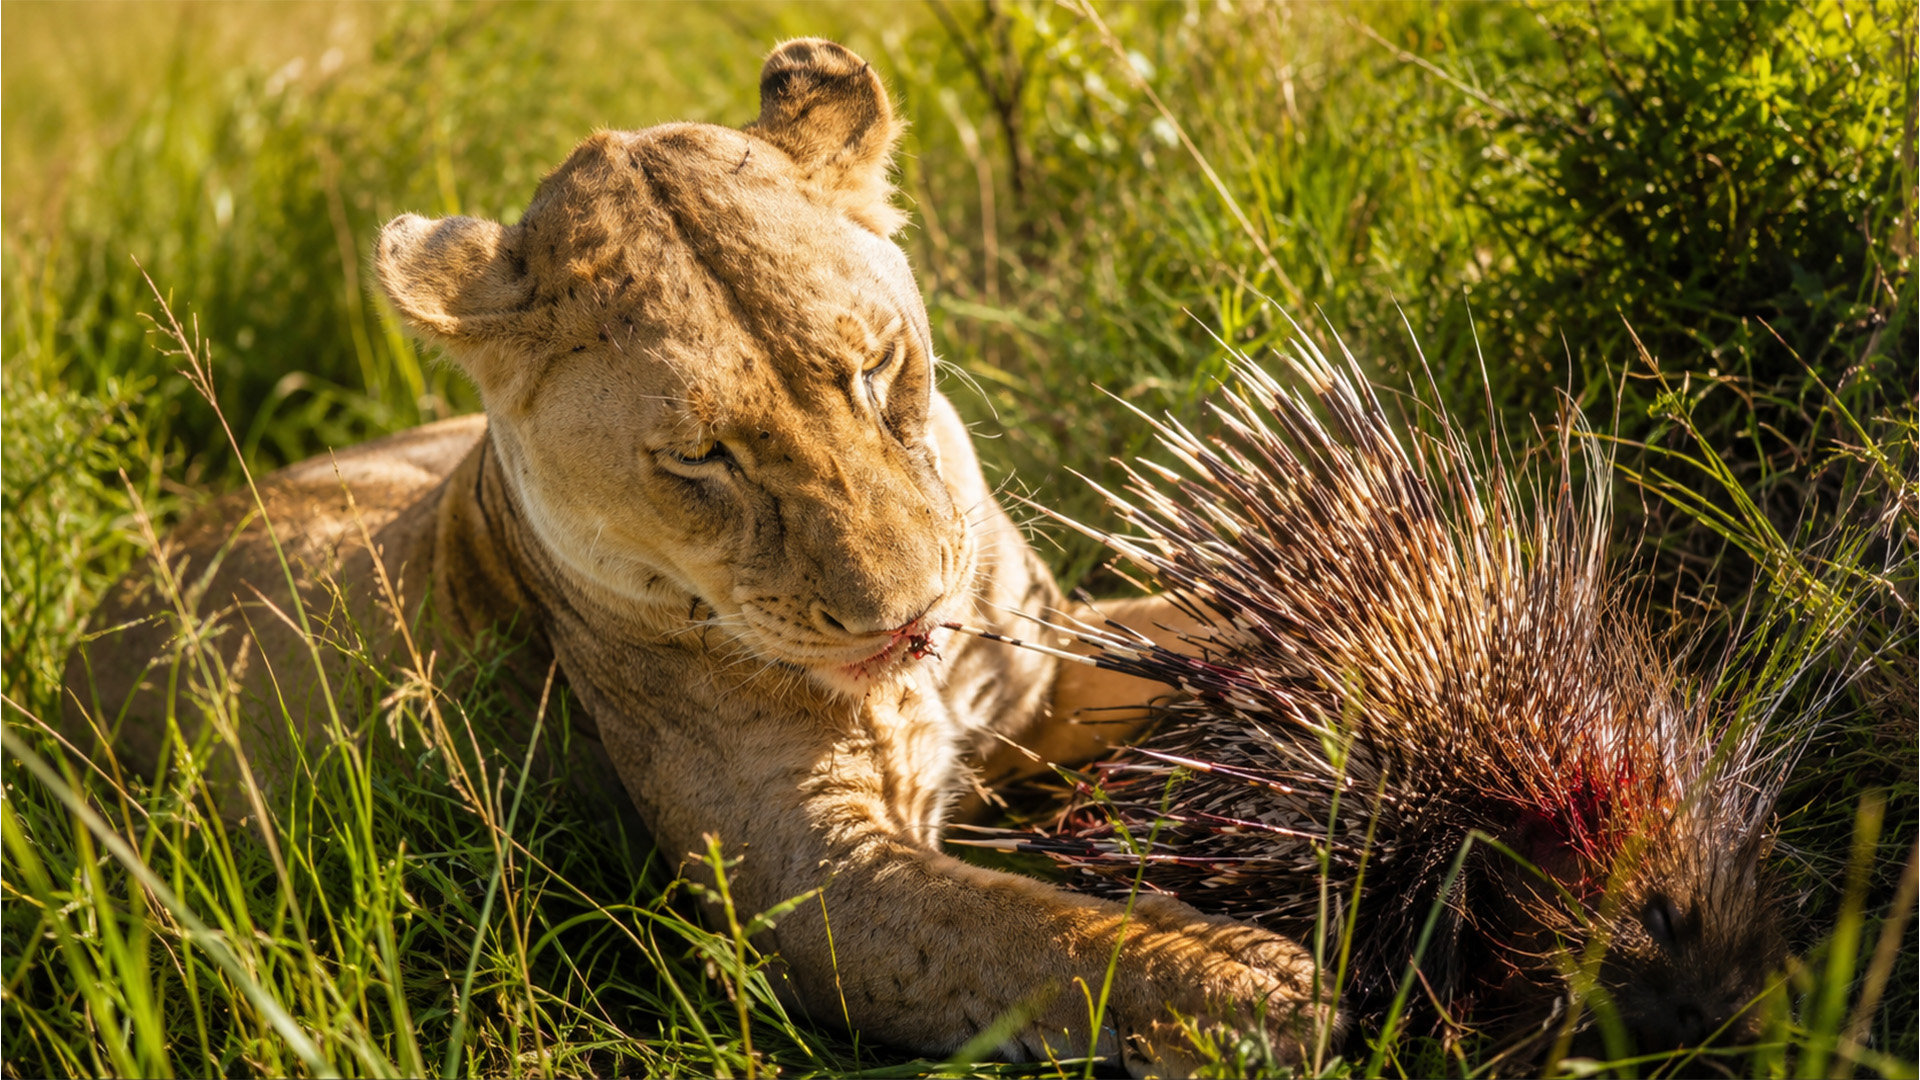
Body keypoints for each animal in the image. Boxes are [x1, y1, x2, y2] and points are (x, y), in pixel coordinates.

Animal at [63, 39, 1332, 1074]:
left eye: (876, 368)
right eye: (701, 457)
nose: (906, 611)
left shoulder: (1033, 669)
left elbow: (1217, 633)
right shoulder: (804, 886)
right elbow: (1036, 933)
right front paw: (1249, 987)